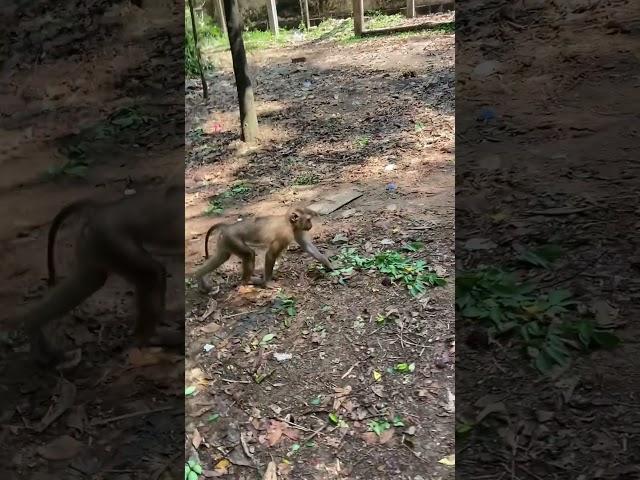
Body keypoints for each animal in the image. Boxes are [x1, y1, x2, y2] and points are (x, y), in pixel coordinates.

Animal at [15, 185, 184, 368]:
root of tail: (101, 209)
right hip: (111, 239)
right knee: (151, 275)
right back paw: (146, 341)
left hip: (97, 242)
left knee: (89, 281)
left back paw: (33, 324)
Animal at [195, 206, 336, 292]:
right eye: (308, 220)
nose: (310, 225)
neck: (289, 223)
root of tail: (228, 227)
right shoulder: (285, 234)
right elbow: (270, 255)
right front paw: (268, 283)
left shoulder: (296, 230)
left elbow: (307, 247)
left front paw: (328, 264)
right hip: (232, 239)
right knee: (249, 254)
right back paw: (247, 281)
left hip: (225, 241)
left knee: (222, 257)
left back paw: (200, 277)